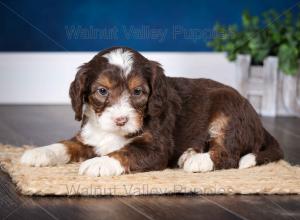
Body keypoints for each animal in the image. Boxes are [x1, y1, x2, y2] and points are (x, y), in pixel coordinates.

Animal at [19, 46, 284, 177]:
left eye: (138, 92)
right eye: (102, 91)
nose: (121, 119)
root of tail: (260, 125)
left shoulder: (156, 148)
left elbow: (126, 152)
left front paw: (99, 164)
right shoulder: (89, 137)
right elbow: (65, 145)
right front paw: (38, 153)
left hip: (227, 112)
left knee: (229, 155)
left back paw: (197, 161)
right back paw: (190, 153)